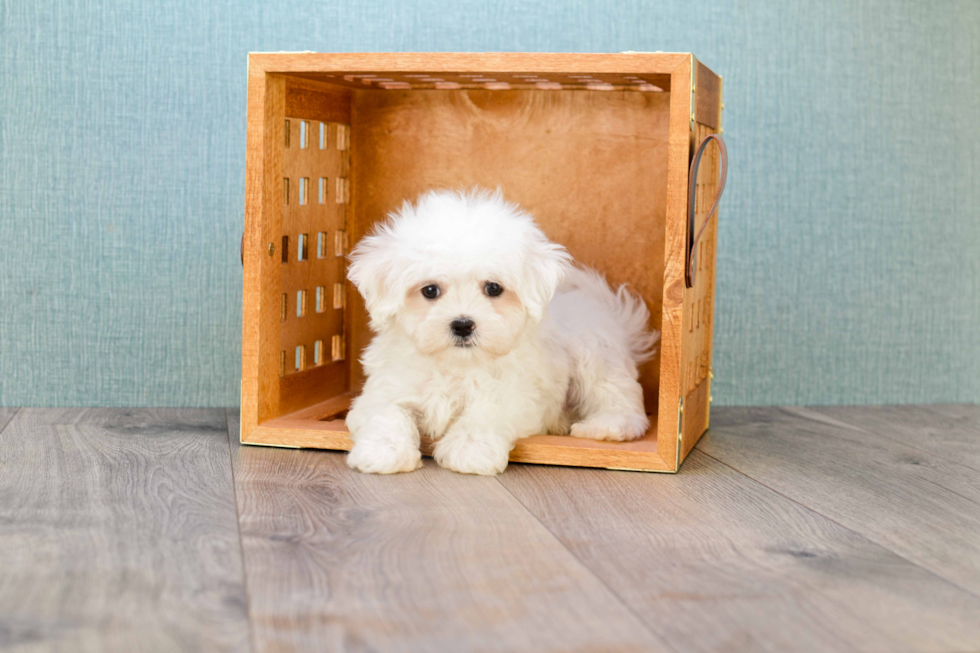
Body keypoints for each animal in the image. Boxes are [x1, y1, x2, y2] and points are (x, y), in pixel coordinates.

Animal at [344, 187, 660, 474]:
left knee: (616, 395)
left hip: (596, 355)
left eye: (493, 288)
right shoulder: (386, 386)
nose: (463, 324)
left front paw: (469, 449)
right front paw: (384, 452)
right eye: (430, 290)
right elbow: (386, 413)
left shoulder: (516, 393)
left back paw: (608, 425)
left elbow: (487, 412)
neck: (456, 365)